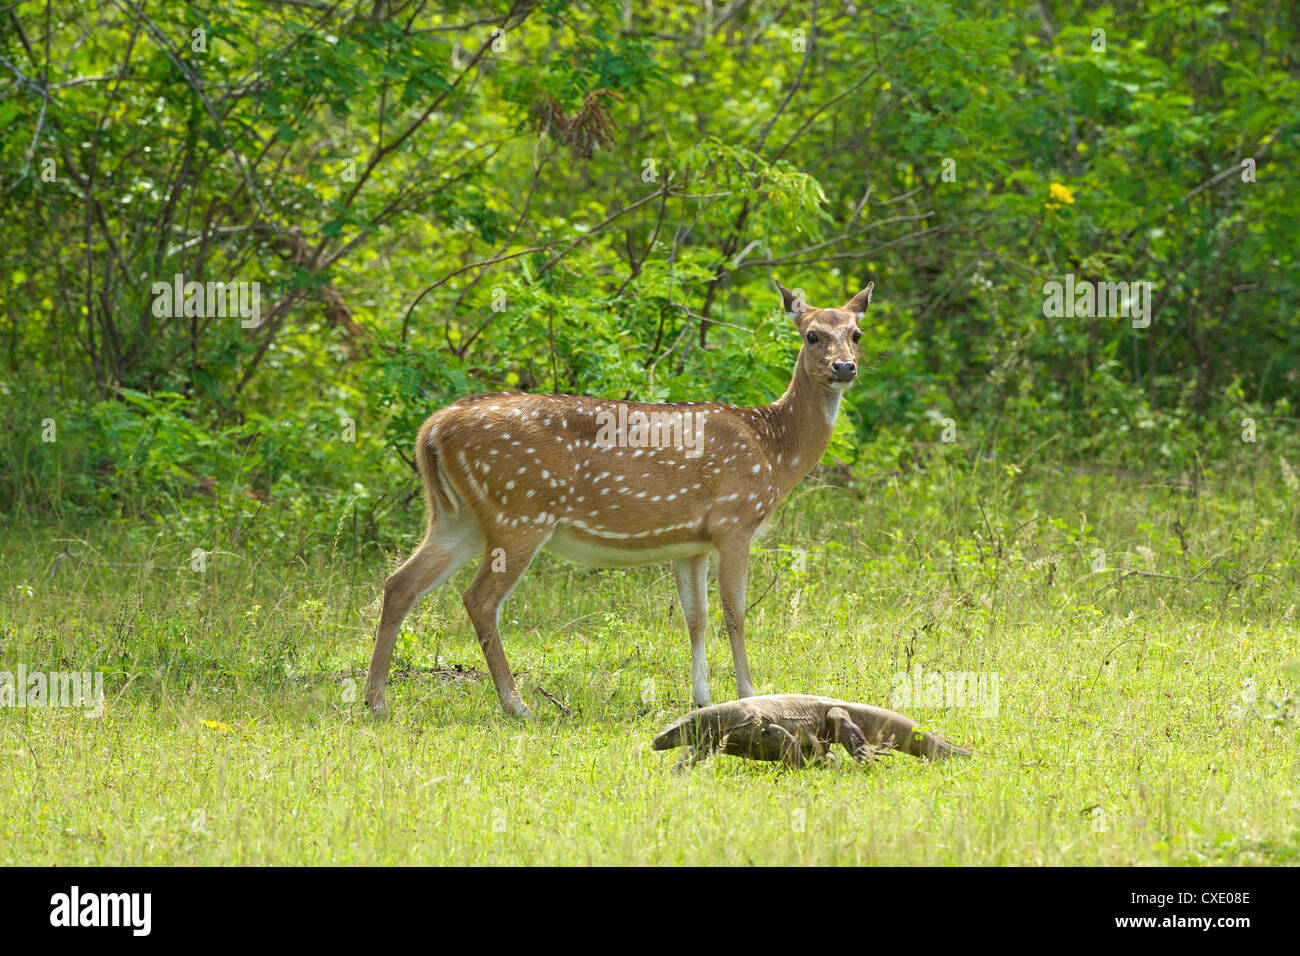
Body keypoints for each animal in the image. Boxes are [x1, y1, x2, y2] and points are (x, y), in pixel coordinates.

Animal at [366, 280, 873, 712]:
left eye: (856, 333)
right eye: (811, 335)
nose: (844, 367)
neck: (773, 448)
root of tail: (434, 427)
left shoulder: (691, 542)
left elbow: (696, 615)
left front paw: (702, 699)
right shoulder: (735, 521)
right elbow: (735, 612)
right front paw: (750, 693)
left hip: (458, 518)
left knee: (400, 583)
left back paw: (375, 702)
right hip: (519, 512)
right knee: (479, 600)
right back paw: (517, 705)